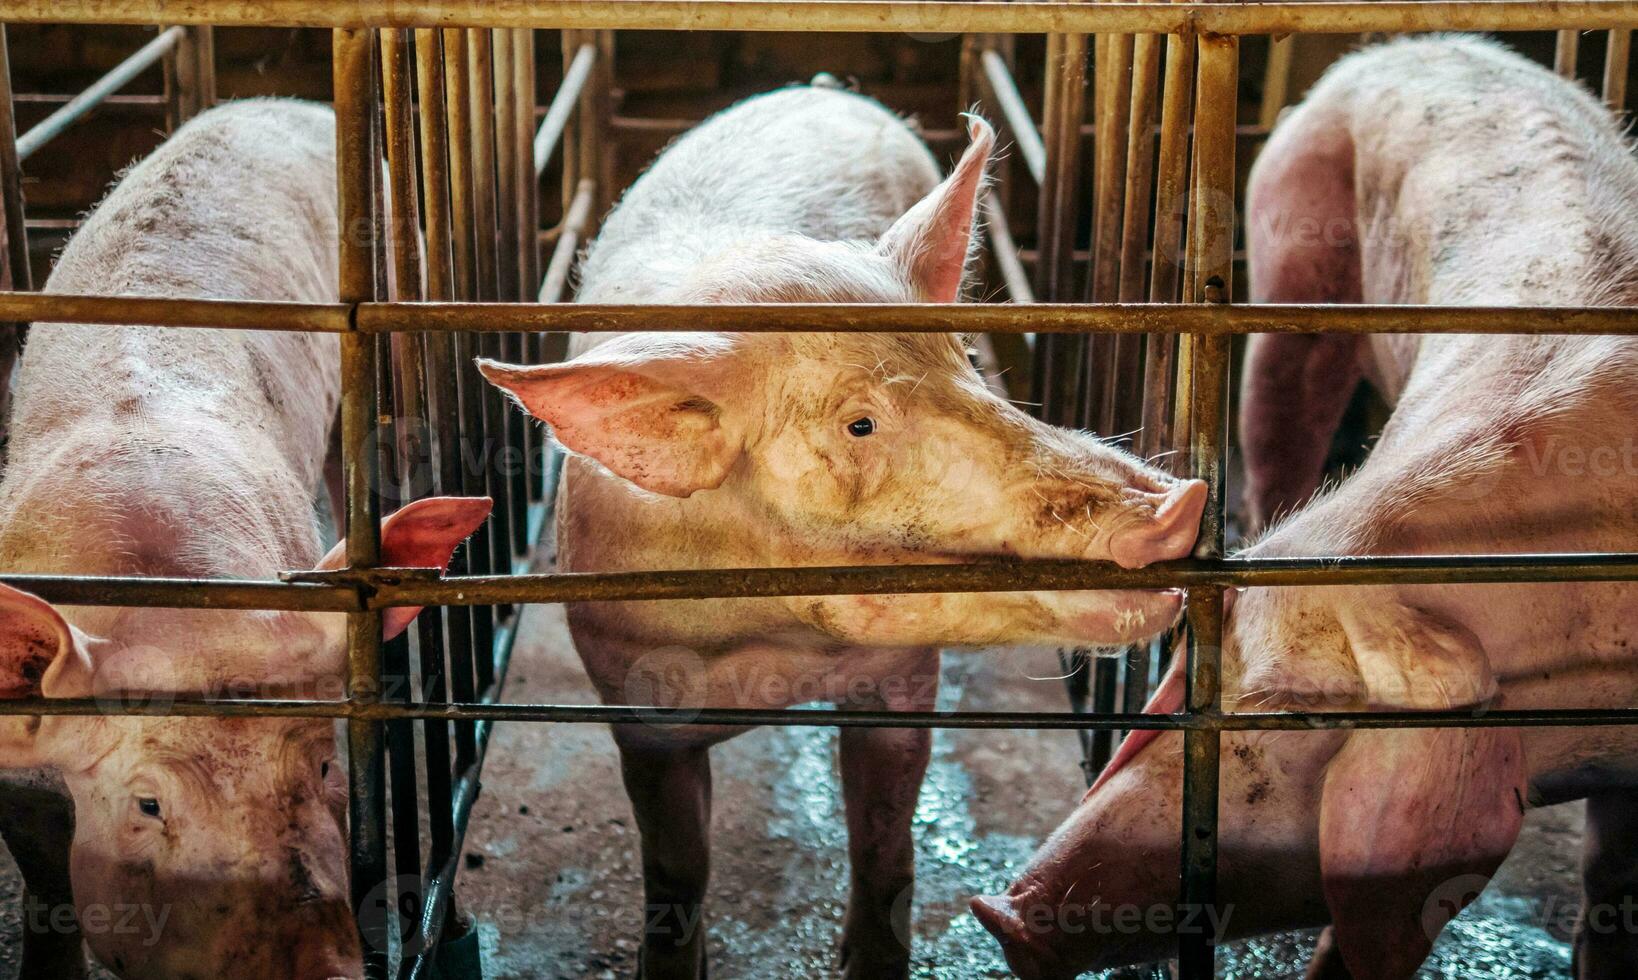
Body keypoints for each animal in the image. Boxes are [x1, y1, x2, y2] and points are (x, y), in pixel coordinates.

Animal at [0, 101, 491, 980]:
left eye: (325, 765)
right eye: (149, 803)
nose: (320, 968)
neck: (169, 596)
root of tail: (284, 106)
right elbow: (47, 875)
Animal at [478, 84, 1212, 980]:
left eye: (968, 362)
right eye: (859, 424)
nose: (1181, 502)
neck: (778, 647)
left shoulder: (903, 680)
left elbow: (885, 838)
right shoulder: (634, 699)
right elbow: (678, 866)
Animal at [976, 34, 1638, 980]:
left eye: (1299, 714)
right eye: (1207, 681)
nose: (999, 912)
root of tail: (1406, 45)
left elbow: (1608, 865)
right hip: (1290, 251)